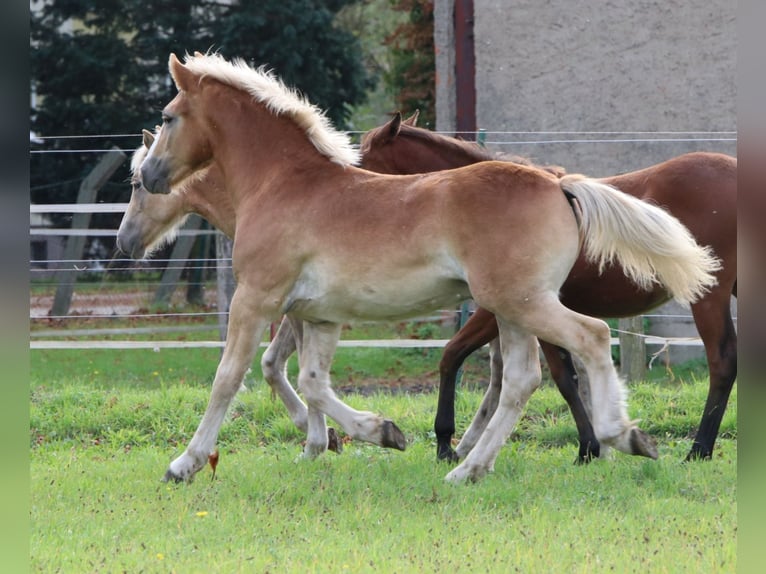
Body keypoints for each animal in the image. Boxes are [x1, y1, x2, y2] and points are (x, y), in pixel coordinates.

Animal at [360, 111, 736, 464]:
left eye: (362, 163)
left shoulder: (508, 307)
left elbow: (457, 356)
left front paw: (445, 443)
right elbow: (566, 377)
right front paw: (593, 448)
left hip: (709, 295)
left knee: (722, 361)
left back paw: (699, 449)